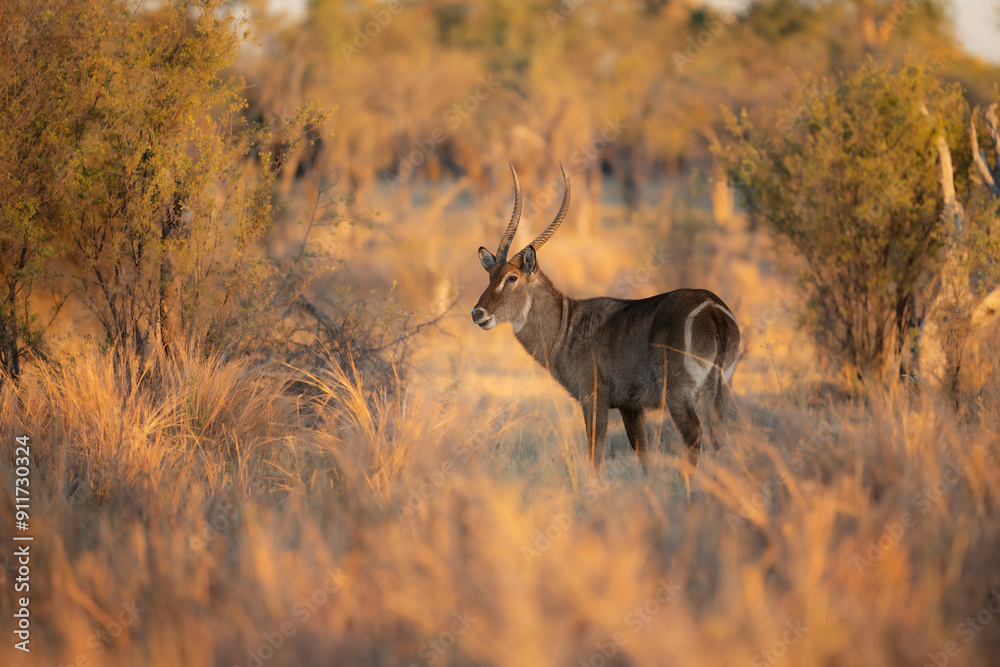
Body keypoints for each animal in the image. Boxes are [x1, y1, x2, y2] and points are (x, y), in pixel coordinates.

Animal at [471, 164, 740, 472]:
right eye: (491, 276)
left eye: (512, 277)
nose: (477, 313)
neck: (567, 326)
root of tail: (713, 309)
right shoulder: (629, 405)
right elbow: (642, 451)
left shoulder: (593, 398)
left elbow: (595, 453)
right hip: (720, 391)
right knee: (723, 437)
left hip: (680, 394)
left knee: (694, 436)